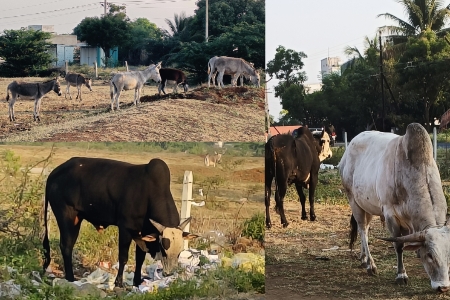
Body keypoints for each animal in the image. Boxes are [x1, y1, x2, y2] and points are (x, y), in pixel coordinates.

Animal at [42, 157, 197, 286]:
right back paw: (70, 278)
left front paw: (137, 282)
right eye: (164, 250)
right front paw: (119, 283)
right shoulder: (126, 228)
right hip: (66, 216)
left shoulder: (142, 234)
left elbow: (140, 258)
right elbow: (123, 257)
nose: (168, 273)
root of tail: (53, 174)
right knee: (66, 246)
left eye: (179, 252)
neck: (149, 194)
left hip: (76, 219)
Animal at [340, 123, 448, 292]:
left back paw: (363, 258)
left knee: (364, 229)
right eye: (430, 255)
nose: (443, 287)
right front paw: (401, 275)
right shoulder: (390, 214)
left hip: (367, 206)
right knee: (362, 229)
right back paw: (370, 264)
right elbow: (398, 245)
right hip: (353, 200)